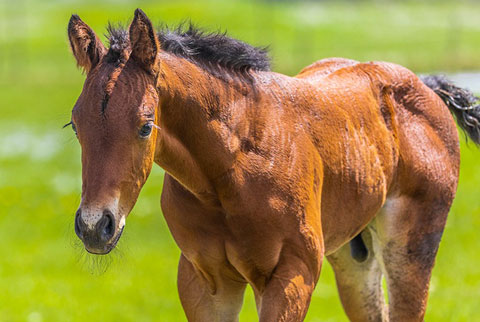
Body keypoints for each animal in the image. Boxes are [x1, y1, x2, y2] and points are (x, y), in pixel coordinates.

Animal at [66, 9, 480, 322]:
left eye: (145, 125)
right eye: (76, 124)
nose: (95, 226)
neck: (230, 169)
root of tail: (423, 85)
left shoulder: (292, 275)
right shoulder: (205, 282)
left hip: (411, 247)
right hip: (353, 257)